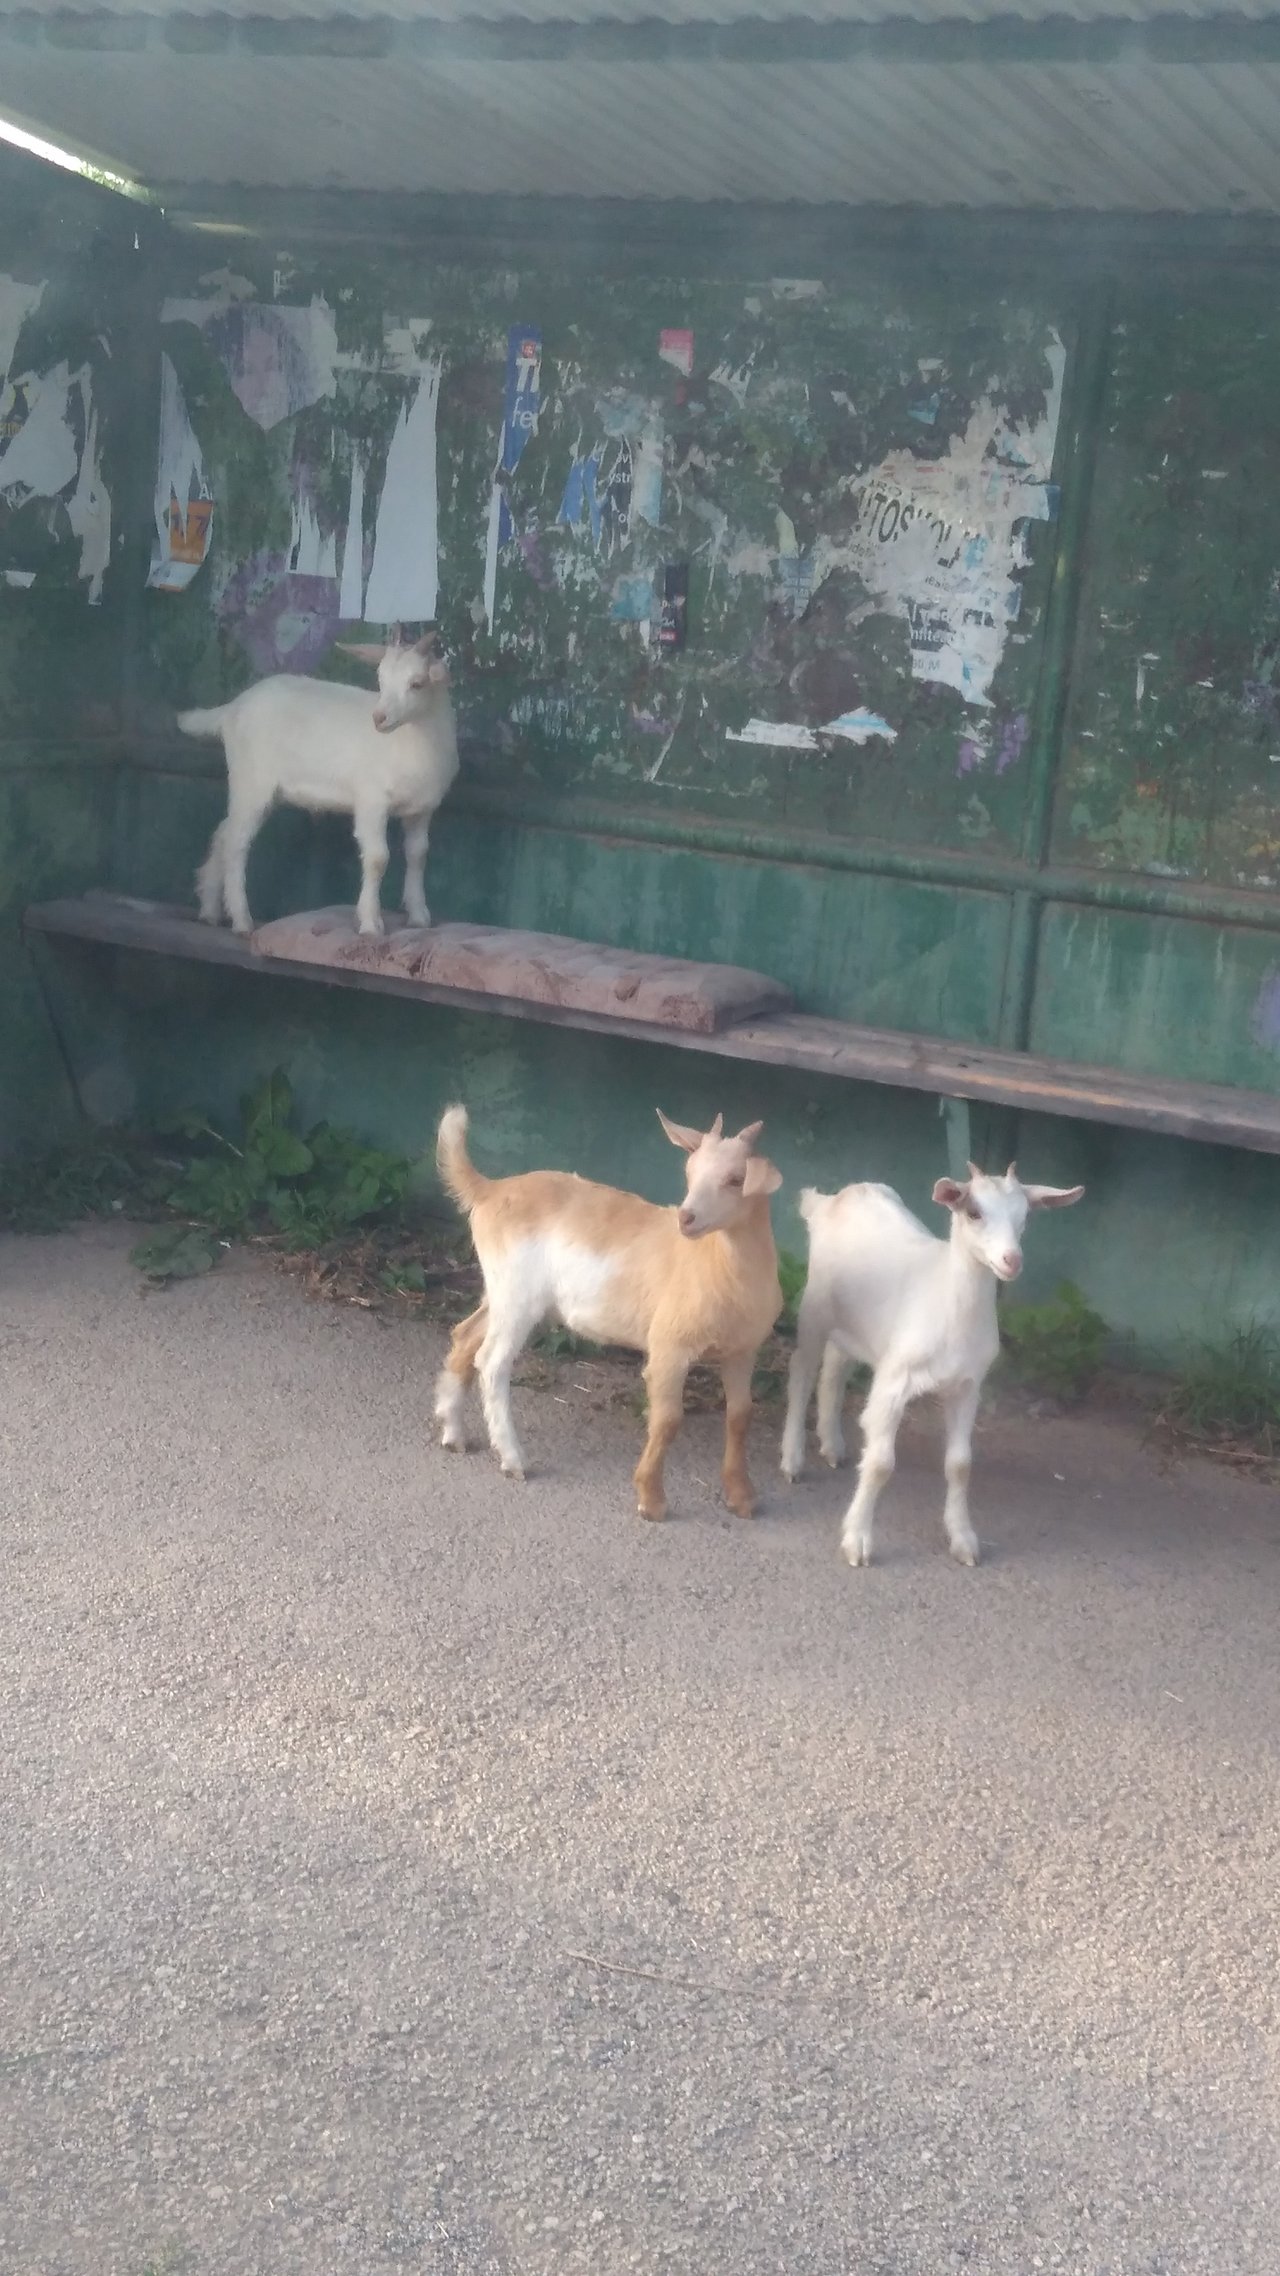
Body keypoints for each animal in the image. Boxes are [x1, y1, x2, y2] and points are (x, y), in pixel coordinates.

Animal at [176, 623, 457, 933]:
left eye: (417, 683)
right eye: (380, 679)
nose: (379, 718)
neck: (411, 742)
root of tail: (233, 707)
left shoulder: (422, 810)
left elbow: (418, 855)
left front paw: (419, 916)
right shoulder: (371, 801)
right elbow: (377, 858)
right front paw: (370, 923)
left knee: (224, 832)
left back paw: (210, 910)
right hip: (250, 780)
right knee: (237, 841)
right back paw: (241, 919)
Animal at [774, 1156, 1079, 1565]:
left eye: (1025, 1216)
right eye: (973, 1212)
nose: (1011, 1260)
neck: (947, 1302)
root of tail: (831, 1200)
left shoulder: (967, 1387)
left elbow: (960, 1464)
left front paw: (964, 1539)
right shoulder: (895, 1380)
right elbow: (880, 1463)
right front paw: (857, 1540)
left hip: (854, 1325)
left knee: (835, 1368)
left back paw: (832, 1445)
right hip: (815, 1304)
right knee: (802, 1370)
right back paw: (793, 1460)